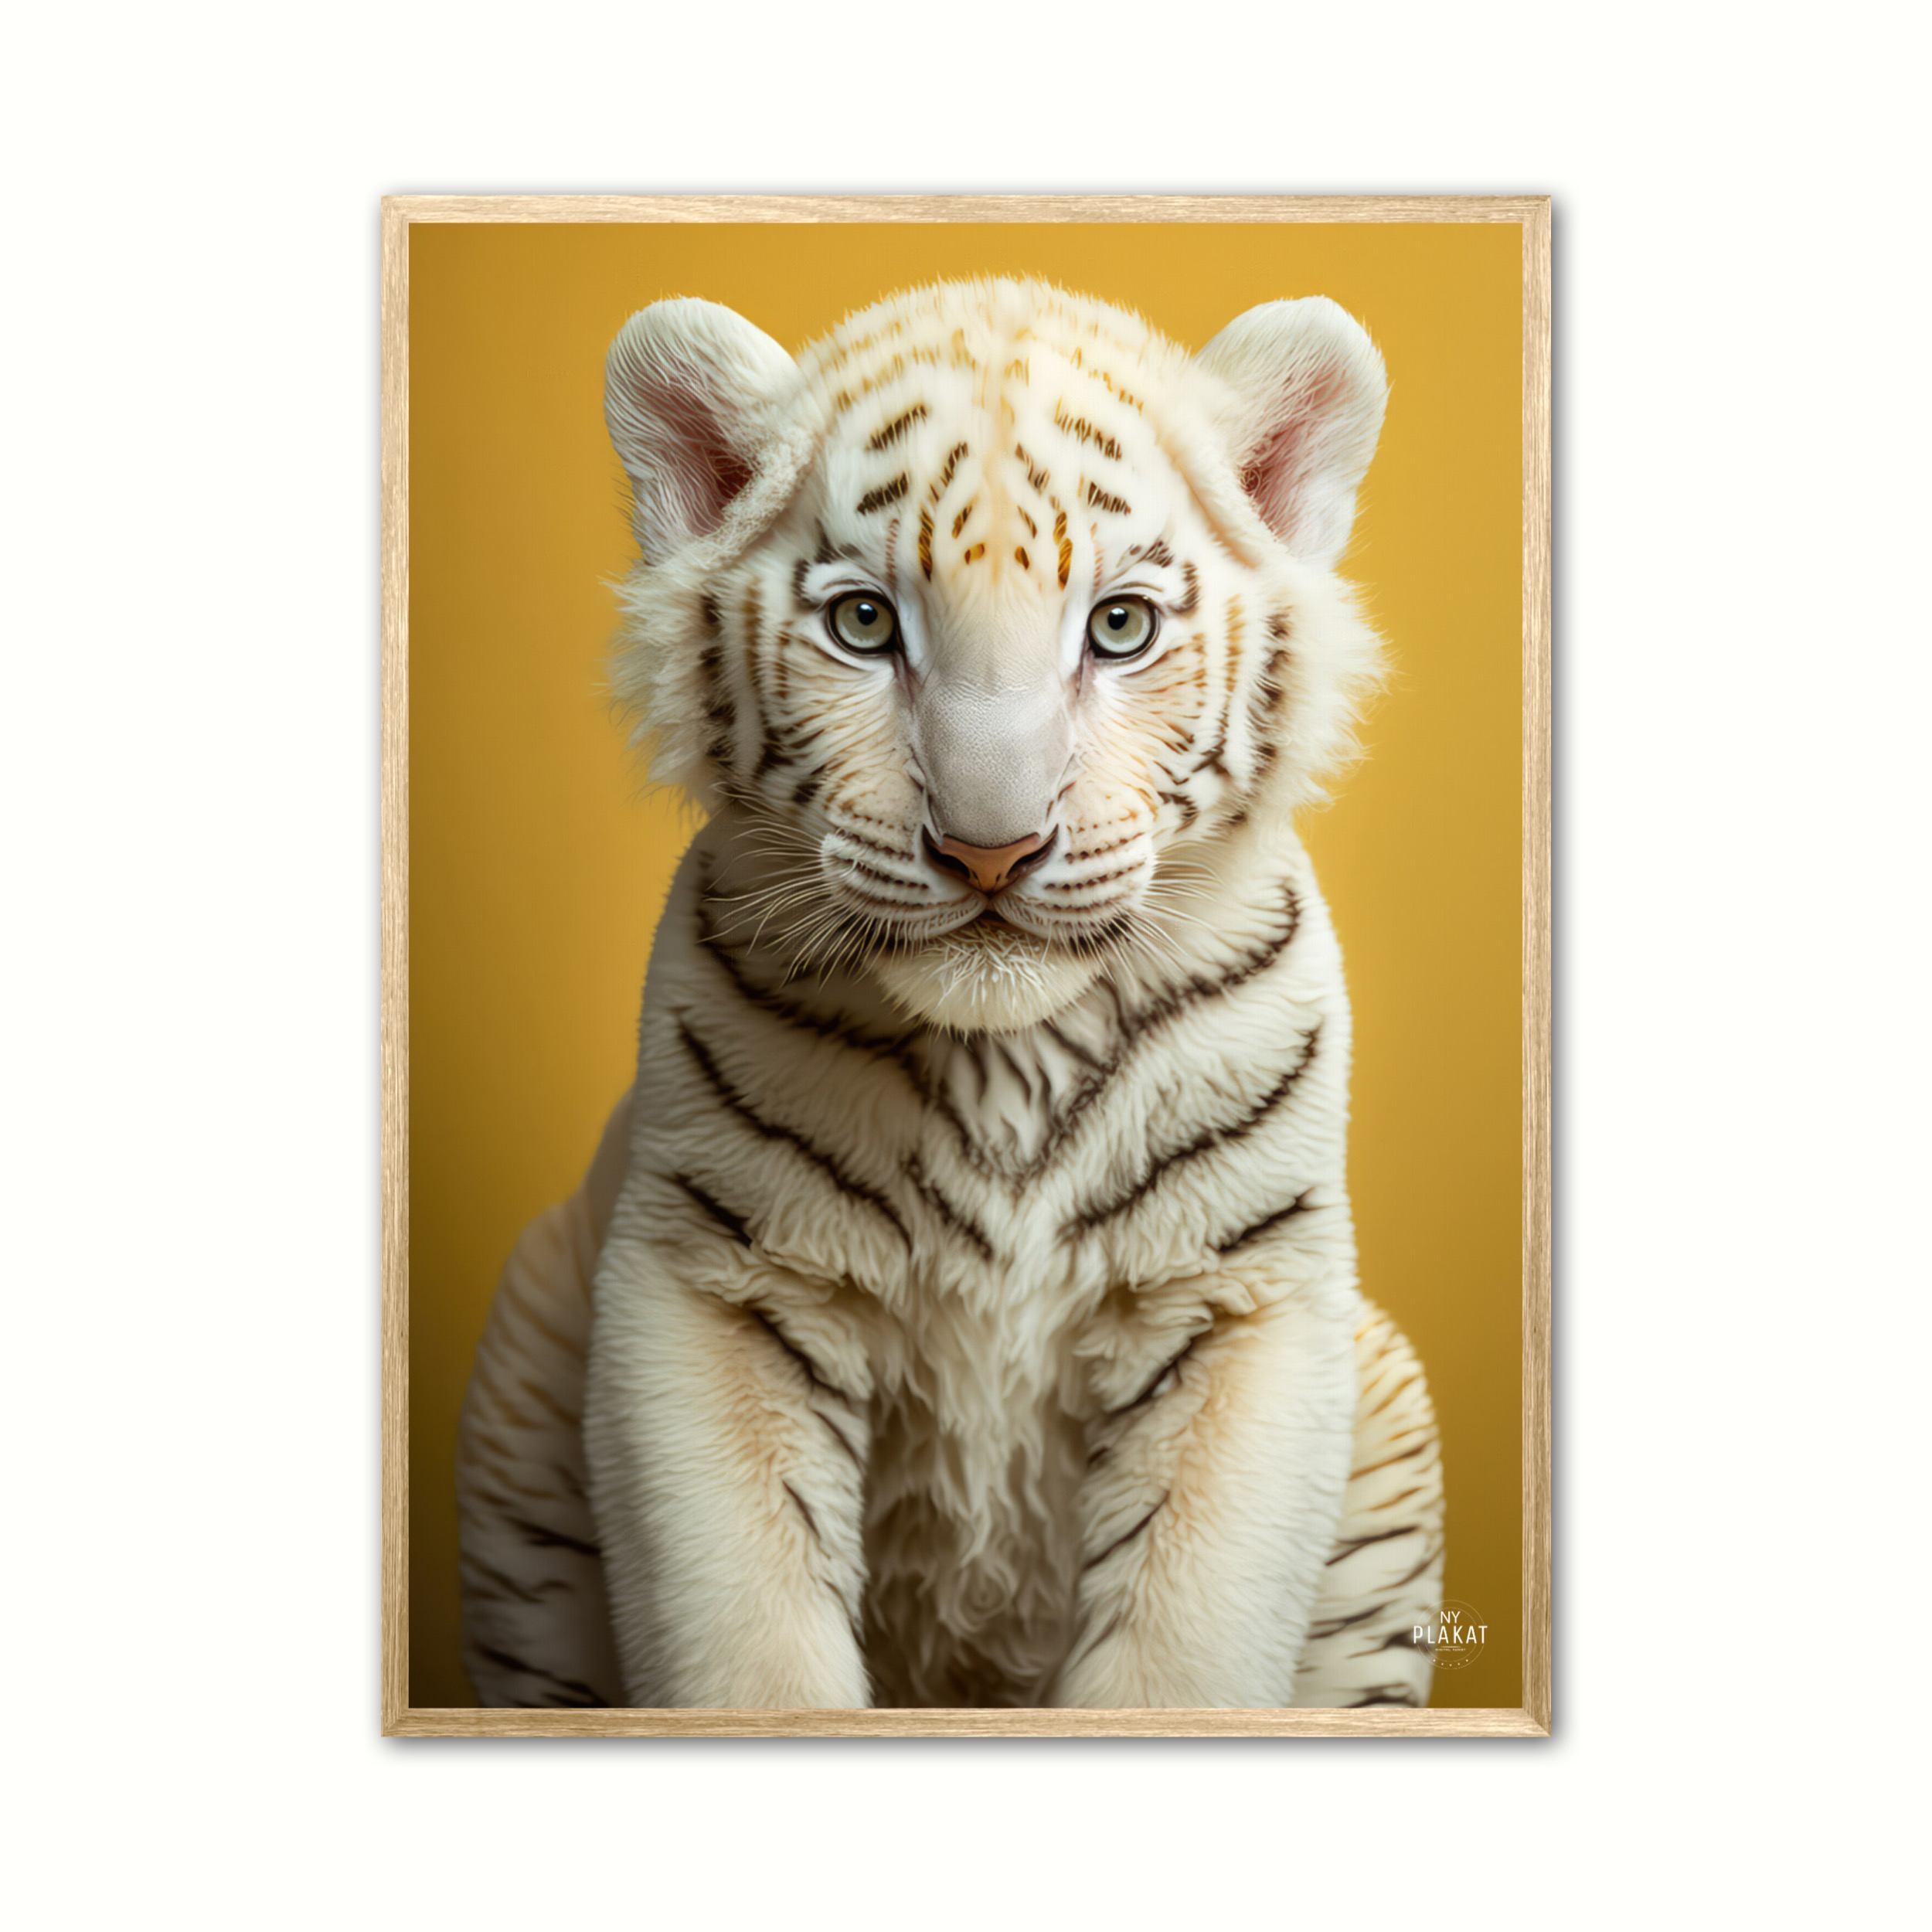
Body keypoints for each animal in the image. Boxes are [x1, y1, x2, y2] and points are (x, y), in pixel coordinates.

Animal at [455, 277, 1445, 1710]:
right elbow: (748, 1646)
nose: (991, 849)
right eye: (864, 623)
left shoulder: (1242, 1298)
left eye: (1119, 626)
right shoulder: (714, 1282)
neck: (1004, 1062)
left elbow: (1182, 1651)